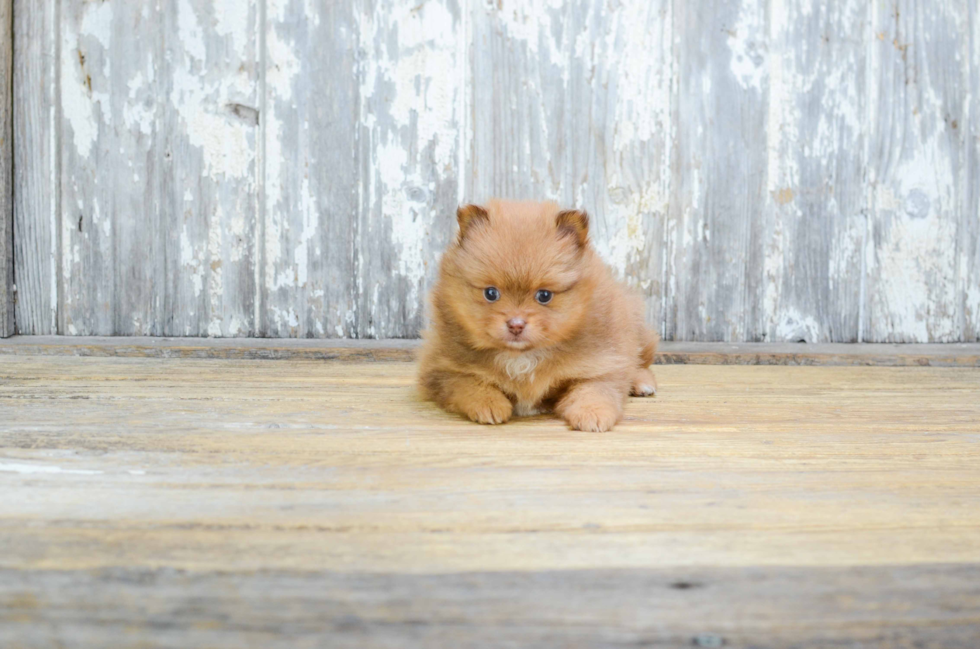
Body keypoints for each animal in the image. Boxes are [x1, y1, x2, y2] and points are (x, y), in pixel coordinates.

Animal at [418, 197, 656, 430]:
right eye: (491, 293)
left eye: (544, 295)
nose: (515, 324)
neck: (523, 356)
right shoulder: (442, 368)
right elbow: (468, 384)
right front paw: (490, 404)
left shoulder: (602, 363)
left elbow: (596, 389)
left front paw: (592, 414)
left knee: (639, 360)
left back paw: (641, 382)